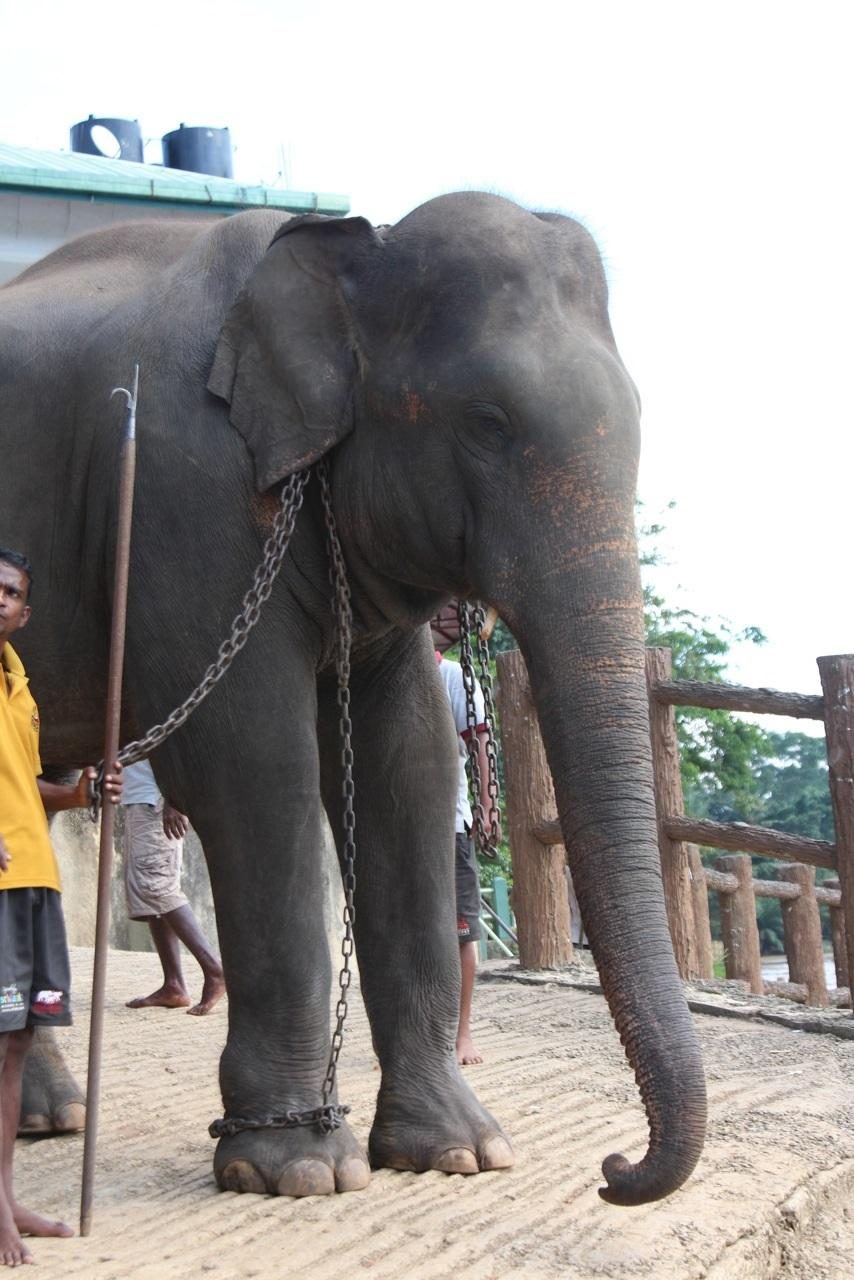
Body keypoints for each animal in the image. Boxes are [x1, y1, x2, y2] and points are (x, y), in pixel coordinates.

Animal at [1, 189, 706, 1198]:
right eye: (487, 421)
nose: (615, 1167)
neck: (343, 251)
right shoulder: (186, 494)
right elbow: (252, 765)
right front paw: (296, 1170)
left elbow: (407, 769)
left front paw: (456, 1153)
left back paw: (49, 1117)